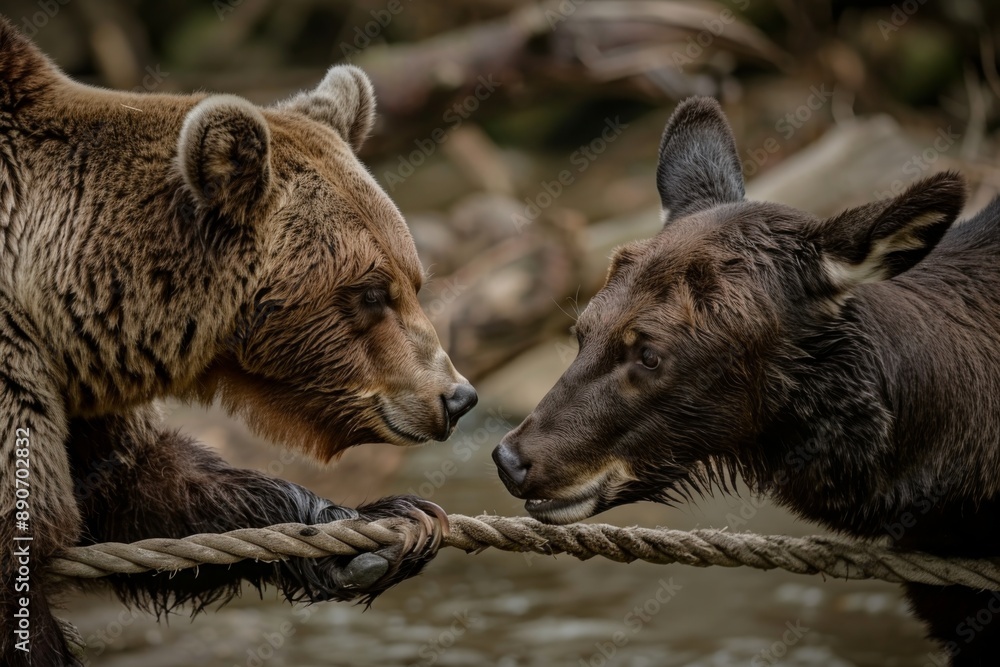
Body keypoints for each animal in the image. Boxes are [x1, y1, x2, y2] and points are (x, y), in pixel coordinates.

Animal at [0, 17, 478, 667]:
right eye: (372, 292)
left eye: (415, 280)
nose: (456, 396)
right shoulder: (16, 368)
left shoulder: (77, 381)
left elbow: (146, 488)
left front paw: (384, 527)